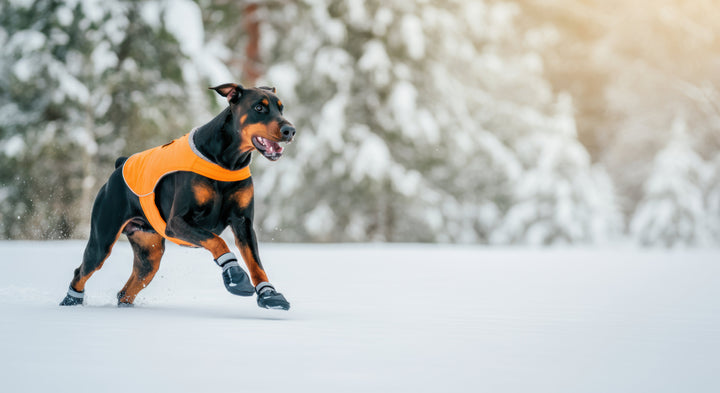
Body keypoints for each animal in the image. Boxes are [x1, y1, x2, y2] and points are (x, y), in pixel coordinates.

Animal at [59, 82, 296, 310]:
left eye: (281, 108)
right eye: (259, 108)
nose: (290, 130)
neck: (227, 161)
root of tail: (120, 164)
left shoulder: (243, 222)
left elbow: (255, 263)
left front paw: (269, 294)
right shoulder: (177, 222)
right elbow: (217, 241)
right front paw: (235, 276)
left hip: (149, 252)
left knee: (128, 288)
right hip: (103, 239)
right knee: (83, 271)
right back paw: (70, 302)